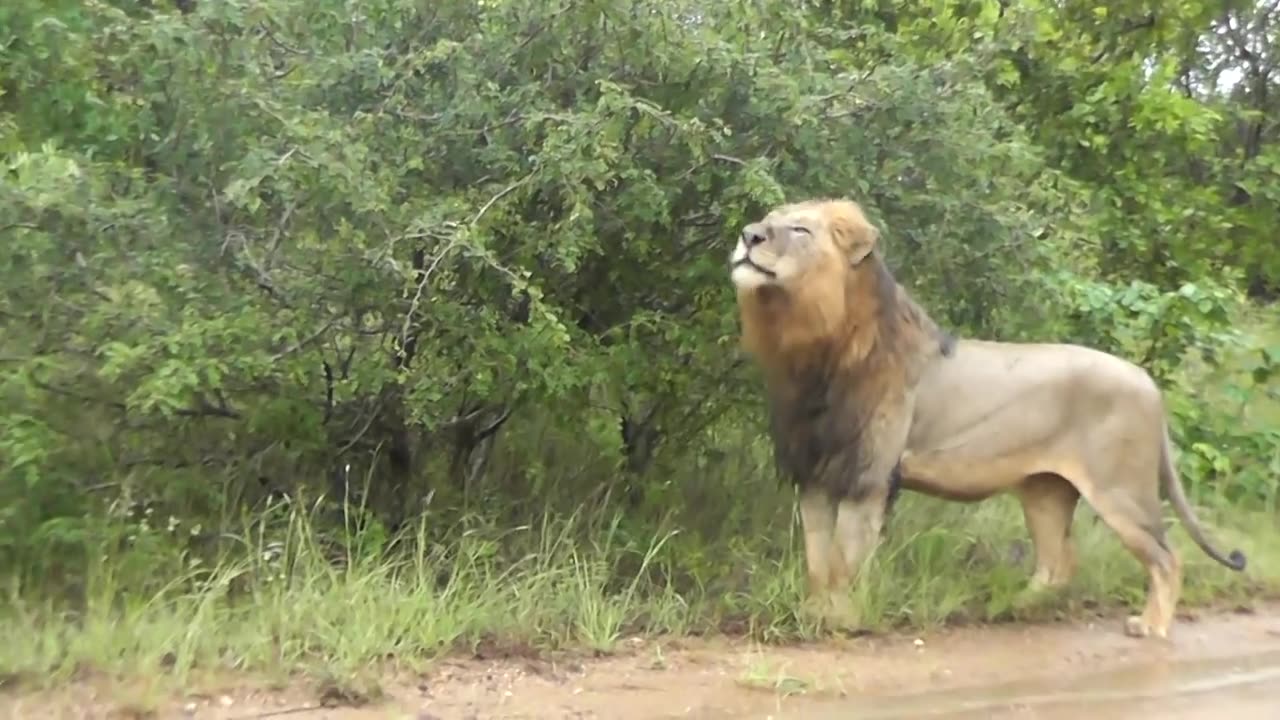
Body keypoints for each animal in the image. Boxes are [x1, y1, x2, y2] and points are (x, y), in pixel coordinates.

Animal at [737, 197, 1244, 638]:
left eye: (800, 229)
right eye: (767, 219)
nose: (748, 234)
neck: (811, 357)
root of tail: (1148, 382)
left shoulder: (868, 478)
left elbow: (843, 562)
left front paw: (838, 621)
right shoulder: (814, 475)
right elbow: (817, 561)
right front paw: (812, 612)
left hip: (1121, 489)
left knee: (1166, 557)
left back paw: (1150, 626)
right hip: (1045, 492)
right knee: (1059, 563)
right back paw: (1011, 606)